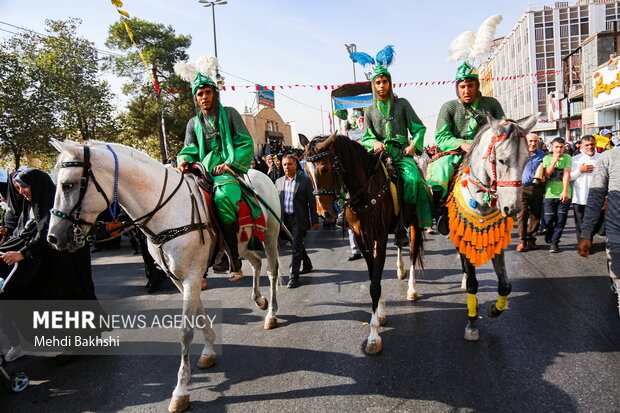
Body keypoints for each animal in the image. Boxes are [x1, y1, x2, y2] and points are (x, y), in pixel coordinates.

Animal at [46, 139, 280, 412]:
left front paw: (180, 391)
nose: (53, 237)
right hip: (243, 246)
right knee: (255, 263)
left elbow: (185, 332)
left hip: (270, 237)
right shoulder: (180, 279)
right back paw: (259, 300)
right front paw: (209, 352)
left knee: (272, 271)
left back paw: (271, 314)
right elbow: (199, 315)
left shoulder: (191, 277)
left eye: (67, 184)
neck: (166, 212)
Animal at [300, 134, 424, 352]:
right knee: (400, 245)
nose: (325, 214)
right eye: (306, 172)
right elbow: (373, 277)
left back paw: (411, 289)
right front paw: (380, 313)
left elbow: (374, 285)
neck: (365, 191)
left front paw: (373, 336)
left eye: (325, 169)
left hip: (415, 223)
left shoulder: (379, 238)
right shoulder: (362, 238)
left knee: (412, 253)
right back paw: (400, 269)